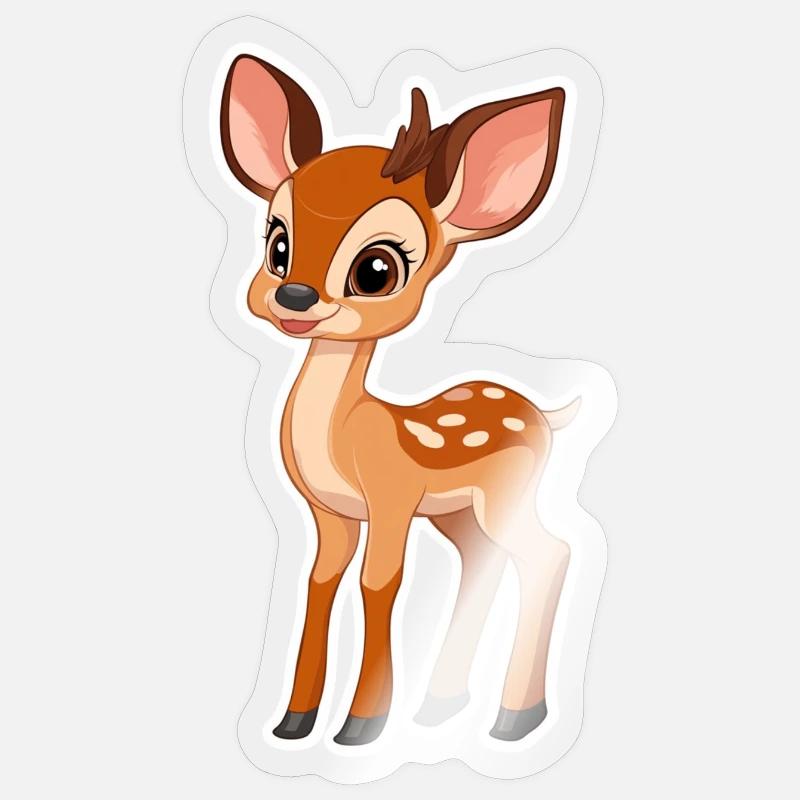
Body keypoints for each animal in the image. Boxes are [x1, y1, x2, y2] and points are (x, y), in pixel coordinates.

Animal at [220, 54, 579, 746]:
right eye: (278, 243)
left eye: (377, 269)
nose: (295, 297)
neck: (344, 432)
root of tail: (543, 414)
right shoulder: (330, 514)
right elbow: (321, 584)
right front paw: (294, 721)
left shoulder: (391, 500)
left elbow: (379, 584)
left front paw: (361, 727)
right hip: (459, 513)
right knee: (482, 559)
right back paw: (442, 706)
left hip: (505, 497)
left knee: (550, 552)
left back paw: (514, 720)